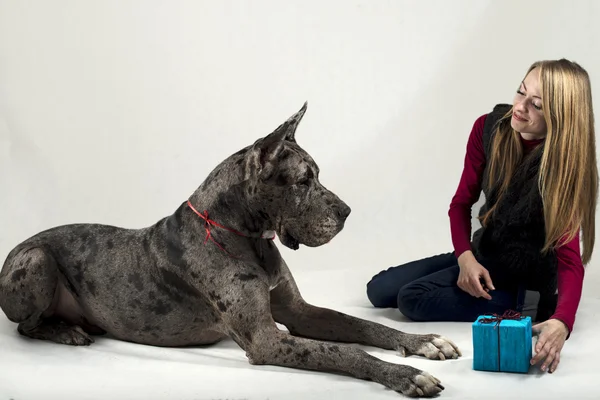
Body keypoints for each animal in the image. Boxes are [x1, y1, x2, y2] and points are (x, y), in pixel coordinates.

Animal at [0, 103, 462, 396]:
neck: (245, 235)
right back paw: (66, 330)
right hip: (36, 260)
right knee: (26, 326)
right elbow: (343, 350)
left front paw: (422, 342)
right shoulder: (265, 339)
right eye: (303, 181)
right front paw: (406, 375)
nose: (347, 211)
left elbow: (362, 326)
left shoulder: (299, 312)